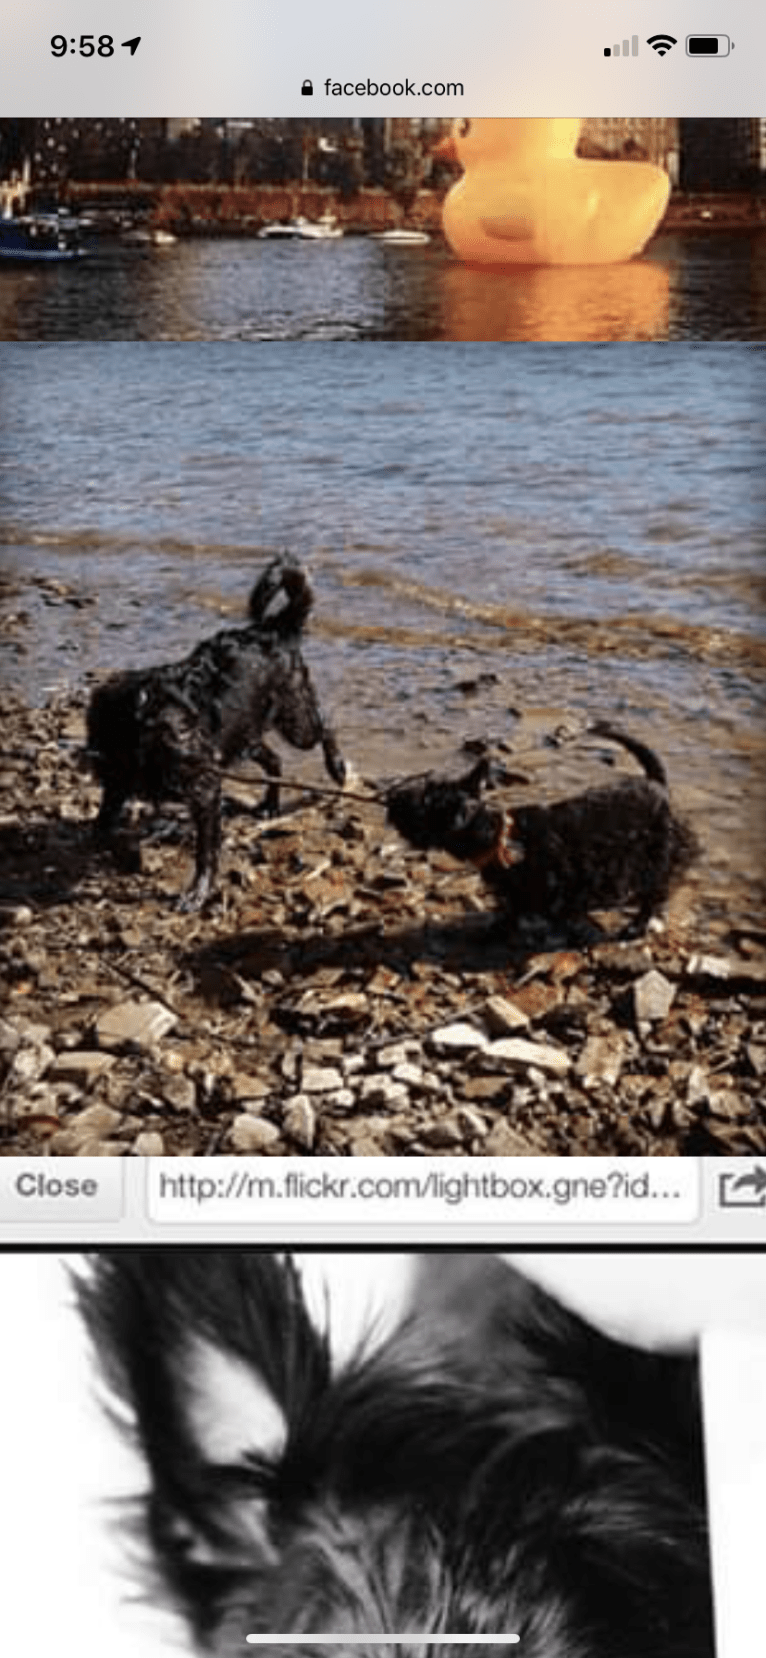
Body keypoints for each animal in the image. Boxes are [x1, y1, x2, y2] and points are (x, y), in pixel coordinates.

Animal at [86, 563, 344, 915]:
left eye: (193, 723)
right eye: (180, 729)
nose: (210, 757)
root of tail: (271, 629)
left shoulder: (205, 791)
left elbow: (205, 851)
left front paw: (197, 892)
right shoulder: (117, 781)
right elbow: (103, 821)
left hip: (294, 723)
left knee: (325, 727)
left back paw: (338, 768)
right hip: (246, 736)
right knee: (275, 760)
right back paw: (269, 805)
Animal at [389, 722, 699, 941]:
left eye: (425, 801)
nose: (392, 797)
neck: (498, 835)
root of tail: (658, 786)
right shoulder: (515, 890)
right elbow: (512, 909)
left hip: (657, 859)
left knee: (654, 895)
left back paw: (635, 926)